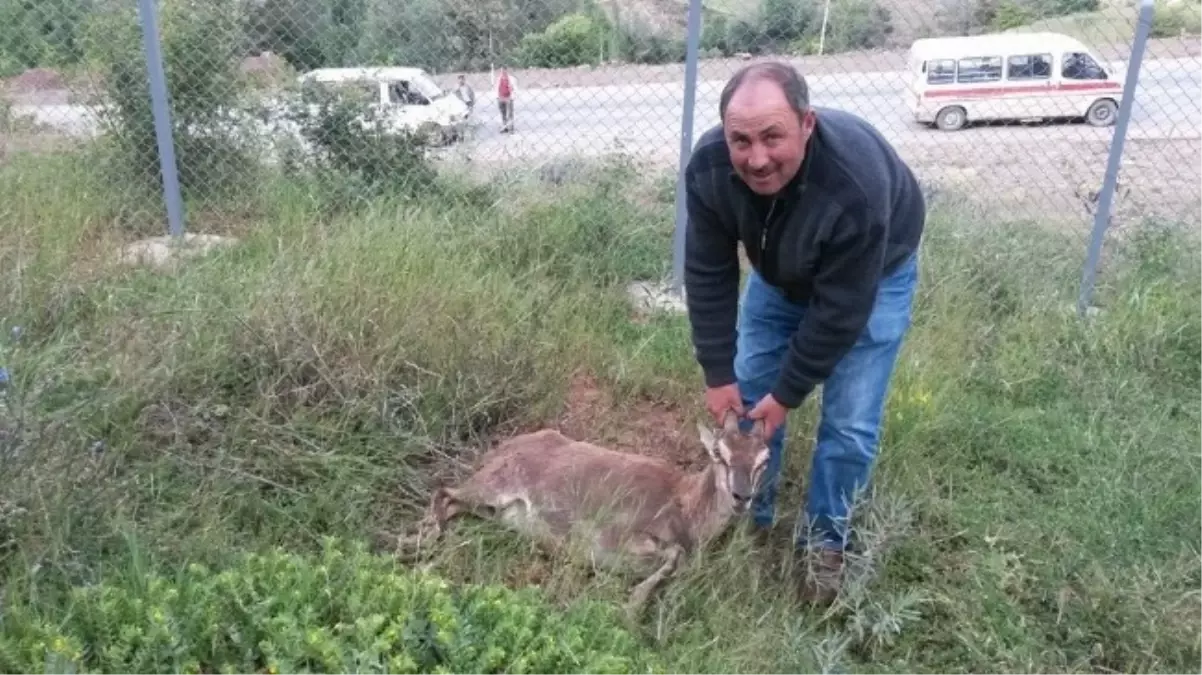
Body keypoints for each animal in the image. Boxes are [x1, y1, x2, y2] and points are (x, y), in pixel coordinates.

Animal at [394, 410, 769, 614]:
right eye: (719, 454)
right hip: (494, 485)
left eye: (764, 461)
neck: (685, 504)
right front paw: (632, 609)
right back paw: (413, 544)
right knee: (444, 493)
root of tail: (501, 448)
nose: (742, 496)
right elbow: (673, 557)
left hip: (490, 508)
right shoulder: (616, 534)